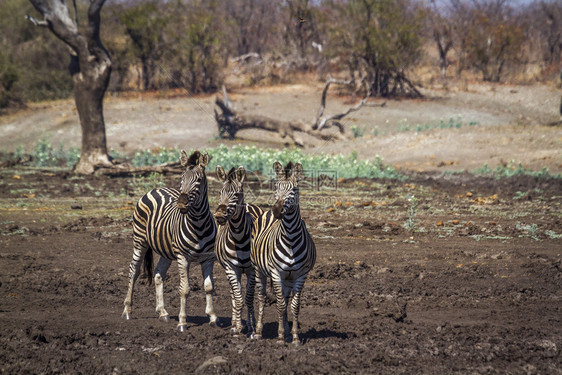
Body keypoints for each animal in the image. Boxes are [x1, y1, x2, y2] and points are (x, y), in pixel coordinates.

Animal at [121, 150, 218, 332]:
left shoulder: (209, 258)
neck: (199, 225)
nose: (181, 204)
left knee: (159, 274)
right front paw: (182, 322)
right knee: (133, 271)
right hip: (140, 241)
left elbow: (209, 287)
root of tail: (156, 188)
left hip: (166, 249)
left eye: (198, 180)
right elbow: (184, 289)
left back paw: (163, 312)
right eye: (181, 178)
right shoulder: (183, 257)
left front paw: (213, 317)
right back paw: (127, 310)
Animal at [213, 166, 264, 336]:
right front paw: (237, 327)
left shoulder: (252, 270)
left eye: (236, 194)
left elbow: (248, 298)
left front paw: (250, 327)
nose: (219, 216)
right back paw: (236, 322)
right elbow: (238, 297)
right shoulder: (231, 268)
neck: (239, 237)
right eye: (220, 192)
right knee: (233, 294)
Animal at [249, 160, 316, 346]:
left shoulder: (301, 275)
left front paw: (294, 337)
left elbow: (294, 305)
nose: (277, 210)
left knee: (286, 300)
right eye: (276, 187)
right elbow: (279, 305)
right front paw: (279, 337)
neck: (291, 238)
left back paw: (286, 330)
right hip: (258, 270)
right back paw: (258, 332)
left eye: (294, 190)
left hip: (288, 278)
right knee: (262, 297)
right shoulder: (276, 272)